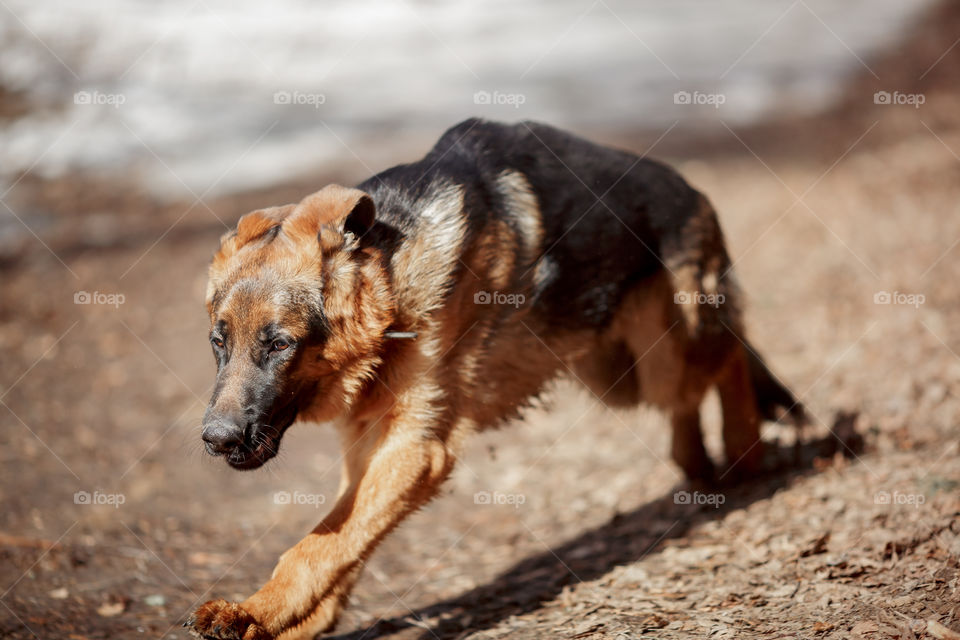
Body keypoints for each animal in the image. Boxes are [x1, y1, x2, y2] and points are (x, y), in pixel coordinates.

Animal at [188, 117, 804, 636]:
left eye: (280, 345)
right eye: (219, 343)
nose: (216, 441)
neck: (392, 283)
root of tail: (693, 190)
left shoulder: (414, 449)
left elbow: (317, 546)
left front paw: (256, 612)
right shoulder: (369, 446)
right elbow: (343, 539)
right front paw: (295, 618)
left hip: (665, 358)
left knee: (729, 354)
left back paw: (744, 447)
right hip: (617, 372)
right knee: (698, 391)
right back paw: (697, 461)